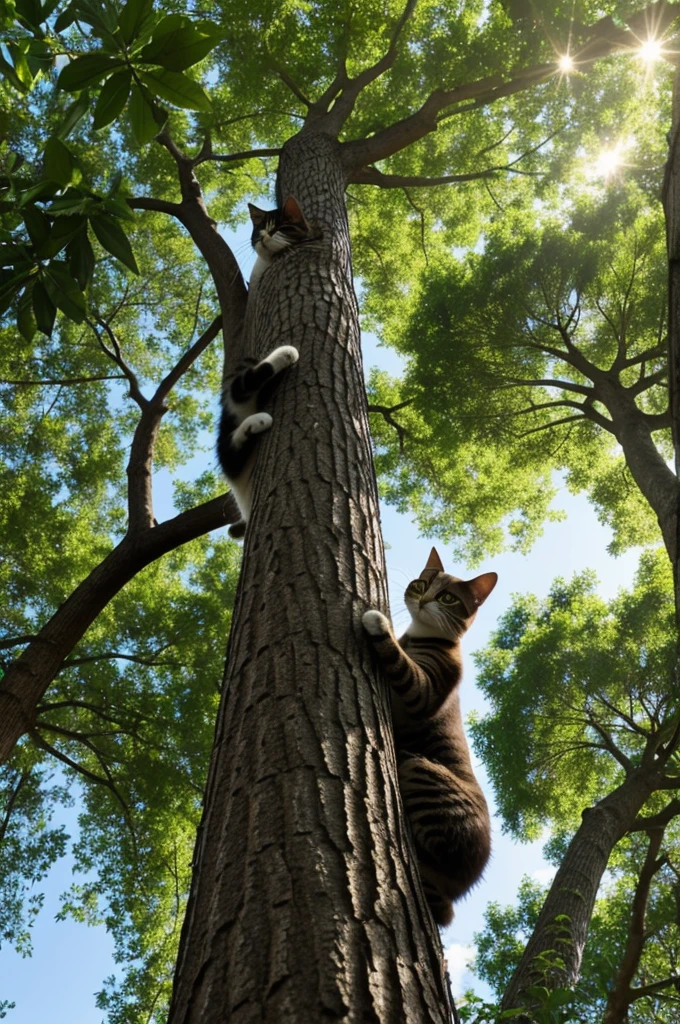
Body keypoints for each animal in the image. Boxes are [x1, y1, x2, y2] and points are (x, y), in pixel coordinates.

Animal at [364, 552, 497, 929]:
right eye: (422, 584)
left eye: (448, 598)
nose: (424, 600)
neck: (422, 636)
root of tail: (459, 889)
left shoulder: (426, 689)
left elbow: (402, 663)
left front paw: (379, 624)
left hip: (424, 772)